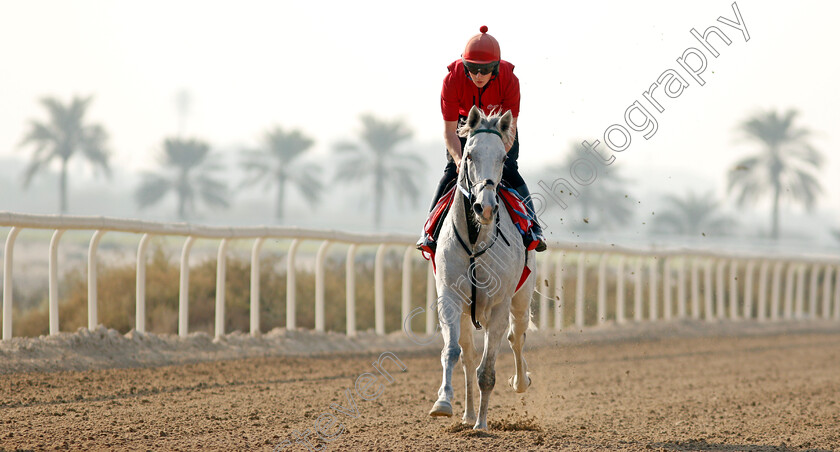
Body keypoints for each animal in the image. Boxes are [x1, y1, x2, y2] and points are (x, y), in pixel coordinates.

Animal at [430, 104, 536, 430]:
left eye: (503, 157)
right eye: (469, 155)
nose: (485, 207)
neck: (476, 240)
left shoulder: (500, 304)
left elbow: (487, 371)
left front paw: (482, 425)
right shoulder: (449, 297)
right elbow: (452, 352)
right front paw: (444, 403)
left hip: (521, 299)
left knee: (517, 337)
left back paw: (520, 382)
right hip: (468, 313)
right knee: (468, 355)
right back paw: (466, 415)